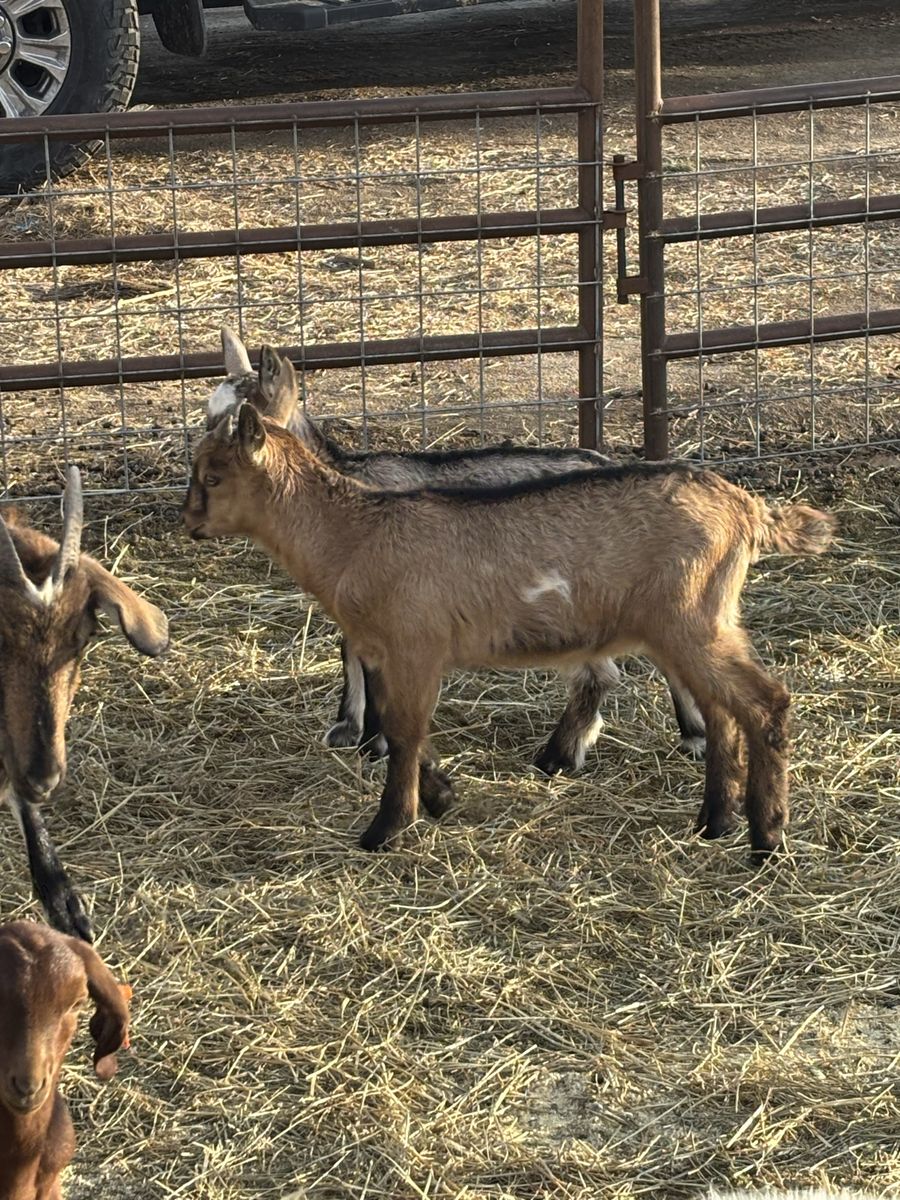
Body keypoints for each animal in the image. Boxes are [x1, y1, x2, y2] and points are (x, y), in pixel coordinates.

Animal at [183, 397, 835, 860]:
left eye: (212, 477)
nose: (189, 522)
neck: (355, 532)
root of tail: (747, 507)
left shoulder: (415, 644)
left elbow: (404, 731)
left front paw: (386, 828)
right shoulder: (387, 652)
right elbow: (398, 730)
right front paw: (440, 796)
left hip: (691, 620)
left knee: (766, 702)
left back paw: (765, 838)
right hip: (700, 623)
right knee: (724, 713)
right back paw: (714, 822)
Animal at [208, 328, 708, 768]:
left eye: (242, 425)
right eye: (207, 415)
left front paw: (375, 744)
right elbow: (348, 648)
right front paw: (348, 729)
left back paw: (564, 755)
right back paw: (694, 733)